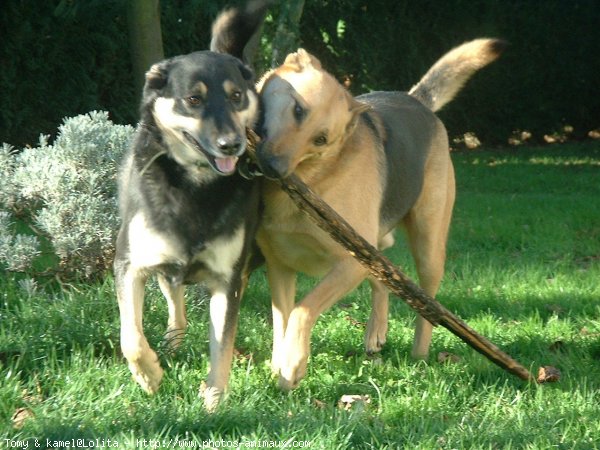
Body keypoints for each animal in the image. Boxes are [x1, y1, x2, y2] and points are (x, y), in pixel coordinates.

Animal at [114, 0, 268, 408]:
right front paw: (149, 374)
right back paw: (171, 344)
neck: (196, 185)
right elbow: (130, 335)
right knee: (175, 304)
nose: (232, 145)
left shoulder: (227, 279)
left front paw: (214, 403)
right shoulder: (129, 264)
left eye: (236, 96)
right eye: (193, 99)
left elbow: (222, 345)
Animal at [254, 39, 506, 390]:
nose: (274, 169)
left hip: (426, 248)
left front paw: (293, 364)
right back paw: (376, 331)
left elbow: (303, 310)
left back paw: (419, 354)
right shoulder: (280, 267)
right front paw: (280, 361)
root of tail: (416, 101)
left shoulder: (349, 263)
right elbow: (283, 320)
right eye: (298, 110)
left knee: (428, 307)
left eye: (321, 139)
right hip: (371, 248)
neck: (316, 174)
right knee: (384, 280)